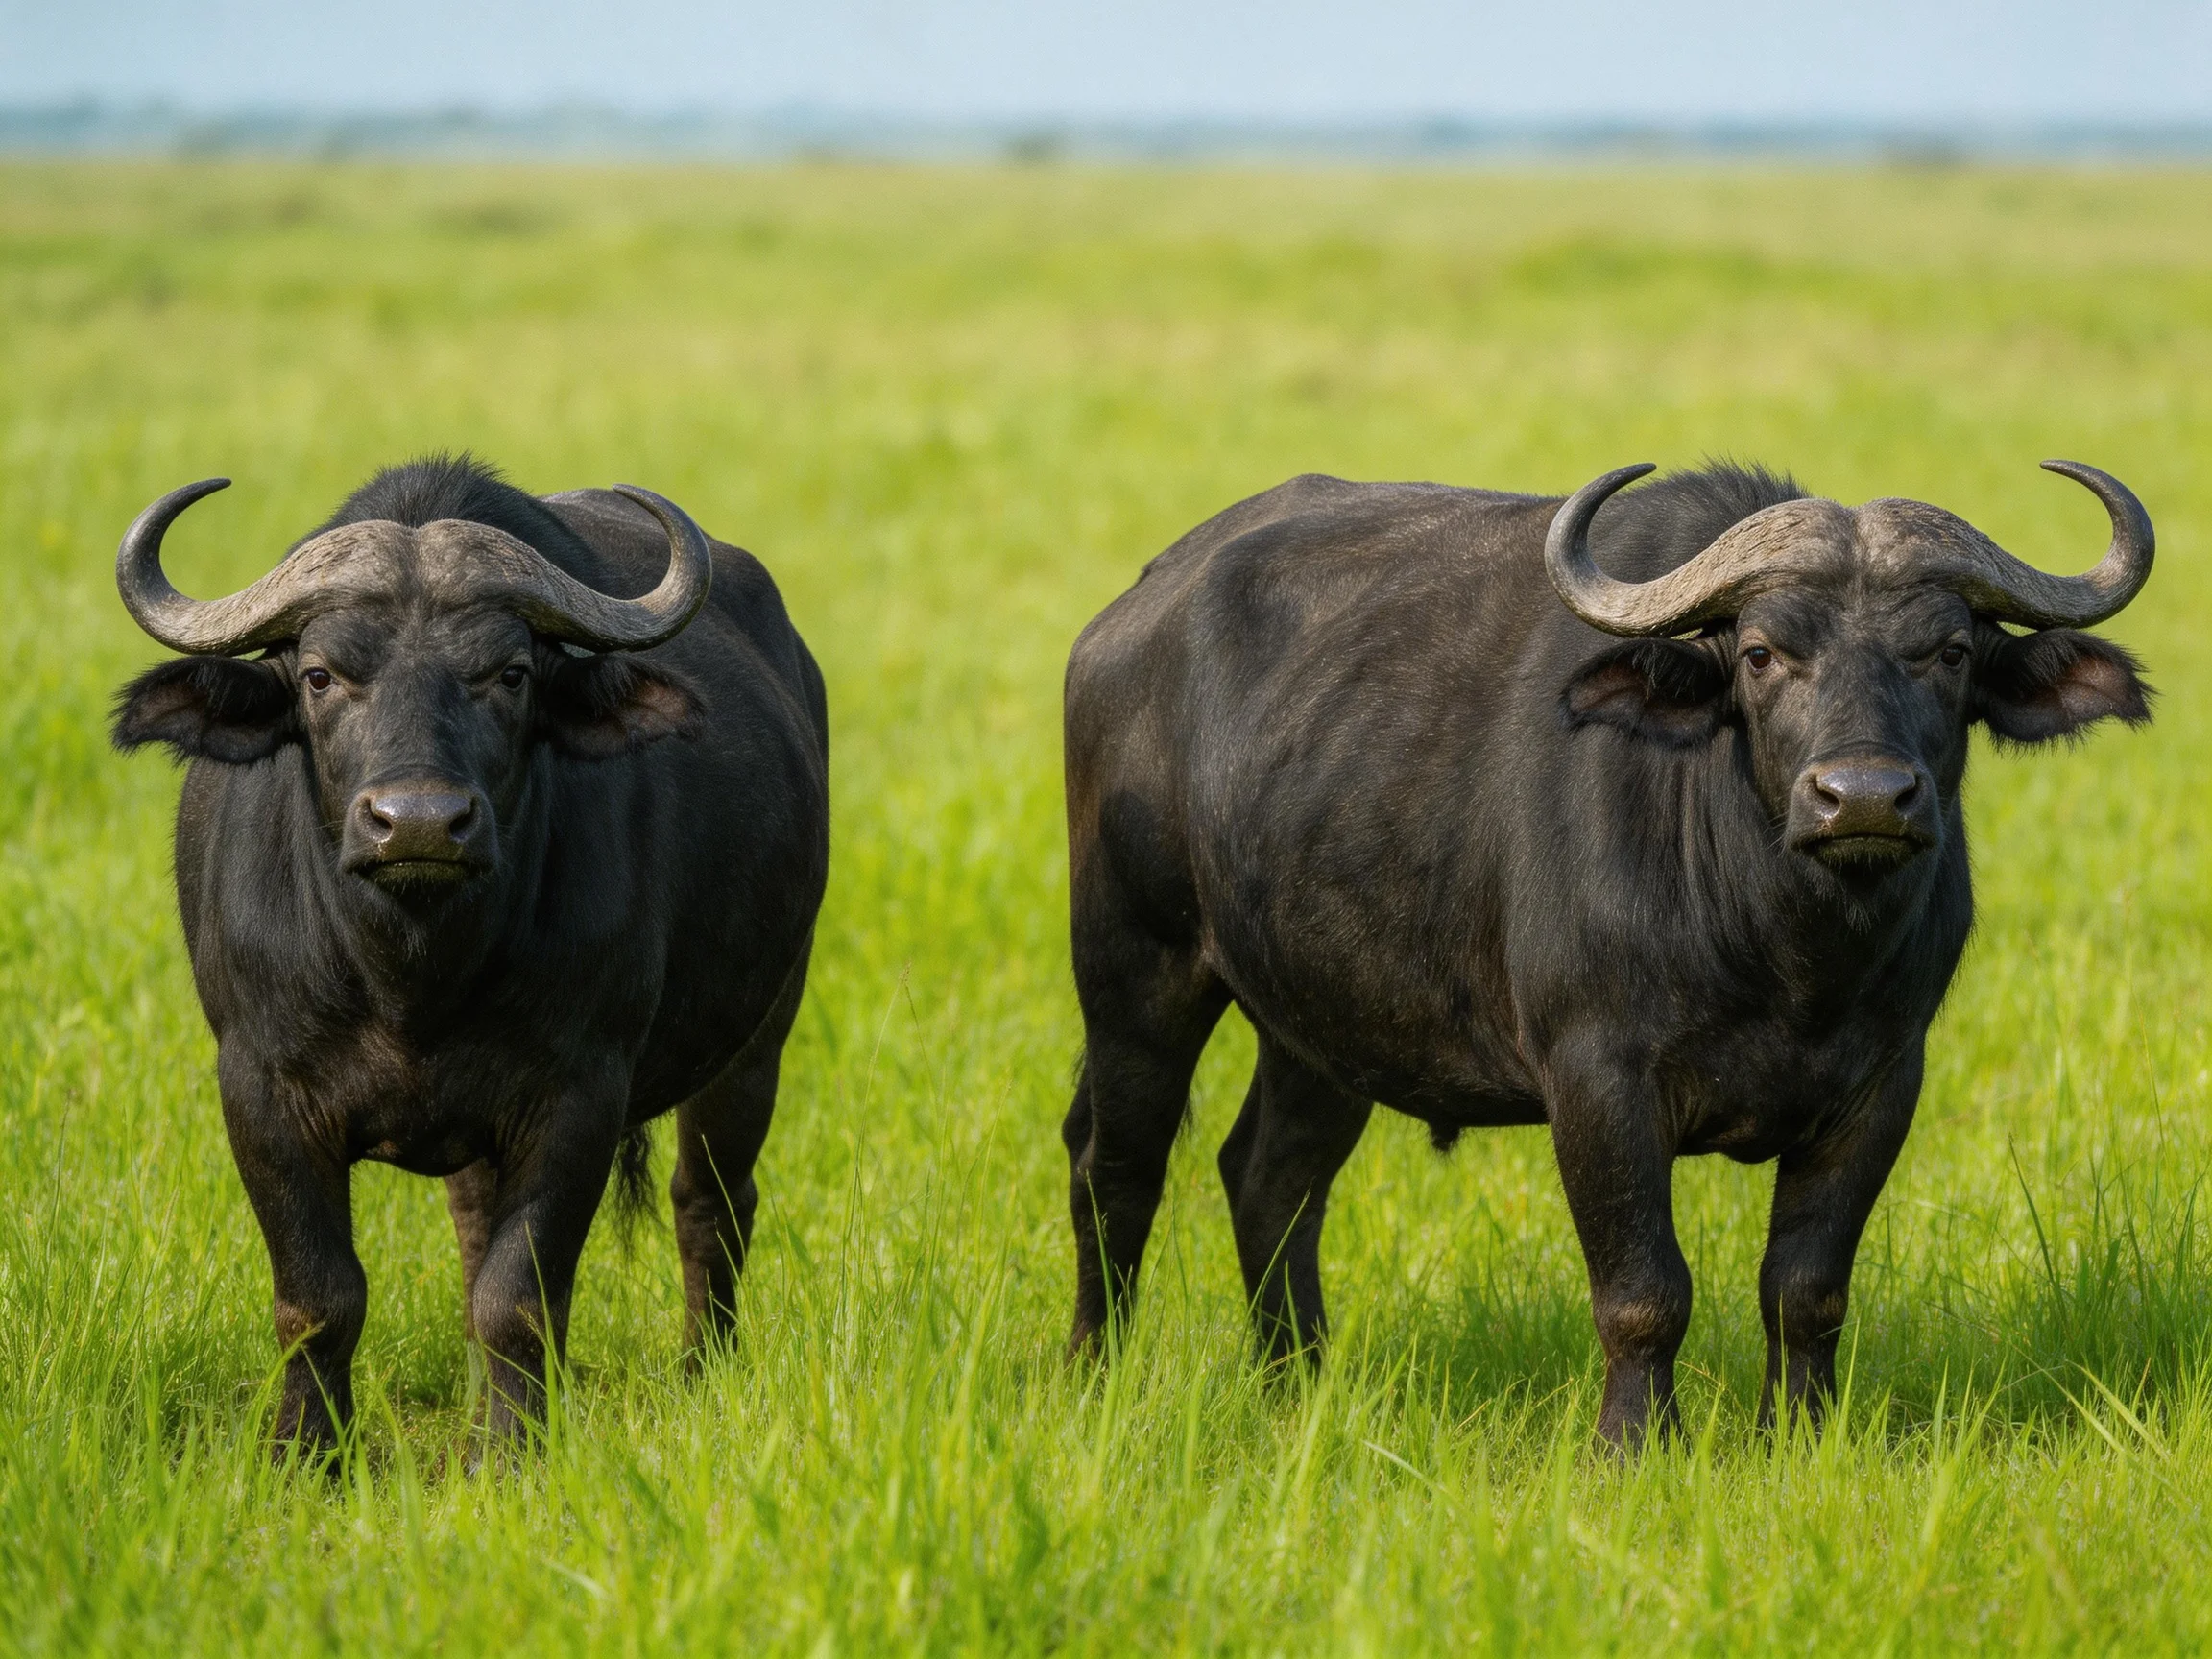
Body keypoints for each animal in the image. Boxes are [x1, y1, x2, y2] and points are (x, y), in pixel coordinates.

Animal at [113, 456, 829, 1453]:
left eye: (512, 673)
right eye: (320, 675)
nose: (418, 822)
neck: (413, 971)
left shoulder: (578, 1095)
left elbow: (517, 1299)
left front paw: (511, 1453)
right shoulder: (259, 1089)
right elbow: (319, 1300)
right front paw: (307, 1454)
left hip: (762, 1030)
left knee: (710, 1202)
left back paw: (701, 1370)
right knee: (474, 1217)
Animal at [1061, 460, 2152, 1448]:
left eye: (1951, 651)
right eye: (1763, 653)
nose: (1865, 798)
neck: (1784, 951)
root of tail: (1130, 614)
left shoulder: (1881, 1084)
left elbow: (1806, 1288)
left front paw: (1797, 1436)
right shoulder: (1596, 1080)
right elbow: (1643, 1289)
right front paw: (1634, 1445)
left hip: (1322, 1022)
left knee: (1271, 1179)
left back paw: (1299, 1381)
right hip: (1134, 968)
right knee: (1114, 1163)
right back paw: (1094, 1371)